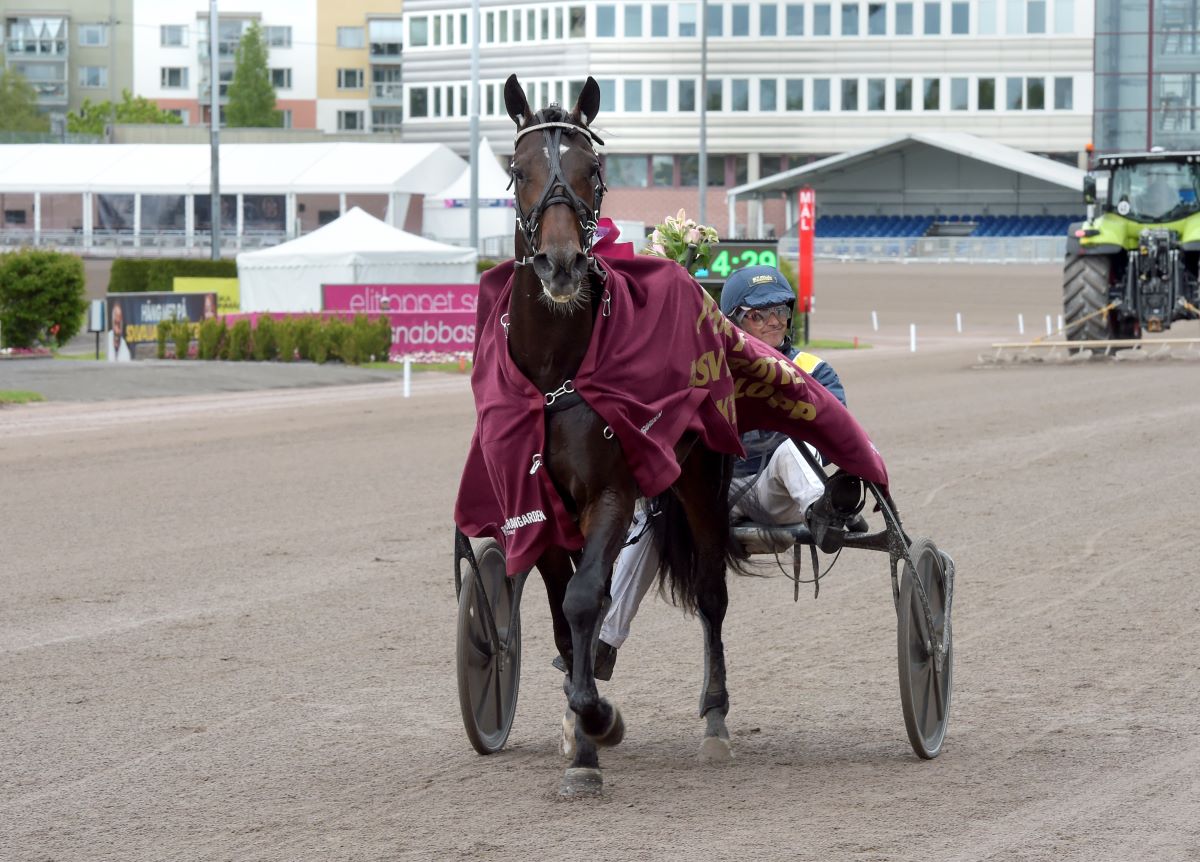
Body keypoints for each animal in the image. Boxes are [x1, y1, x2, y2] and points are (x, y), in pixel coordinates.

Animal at [499, 77, 739, 801]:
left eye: (595, 171)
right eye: (518, 170)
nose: (560, 263)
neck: (558, 374)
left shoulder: (610, 491)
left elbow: (585, 600)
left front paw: (597, 723)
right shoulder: (542, 511)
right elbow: (562, 618)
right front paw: (580, 742)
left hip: (700, 477)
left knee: (711, 595)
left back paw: (715, 720)